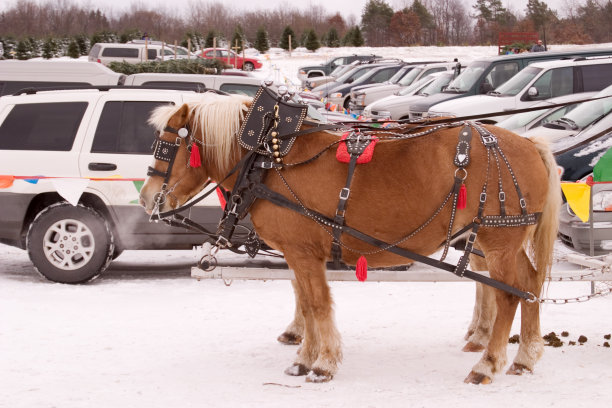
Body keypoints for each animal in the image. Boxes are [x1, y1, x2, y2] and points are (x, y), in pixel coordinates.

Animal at [139, 93, 560, 386]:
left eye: (168, 146)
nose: (146, 199)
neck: (269, 159)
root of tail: (529, 143)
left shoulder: (305, 254)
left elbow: (317, 305)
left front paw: (323, 364)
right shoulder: (298, 254)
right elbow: (306, 304)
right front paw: (303, 359)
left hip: (499, 241)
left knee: (508, 296)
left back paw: (487, 364)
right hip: (504, 244)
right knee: (530, 285)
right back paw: (525, 357)